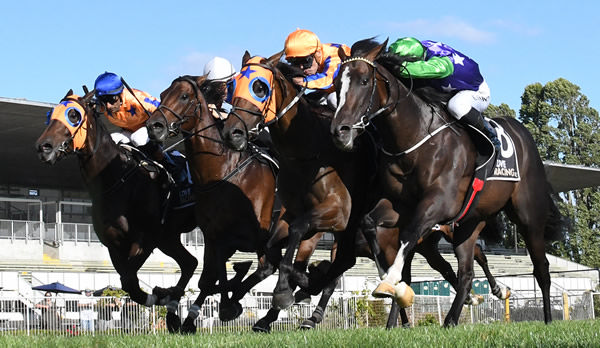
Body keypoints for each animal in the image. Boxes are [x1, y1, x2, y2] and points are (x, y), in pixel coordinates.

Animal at [35, 91, 199, 320]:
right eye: (50, 115)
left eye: (74, 115)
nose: (44, 146)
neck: (117, 179)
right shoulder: (114, 244)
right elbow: (129, 284)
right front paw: (161, 295)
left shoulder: (145, 240)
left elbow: (129, 279)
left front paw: (160, 294)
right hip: (168, 239)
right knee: (190, 262)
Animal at [328, 39, 564, 324]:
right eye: (337, 82)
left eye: (364, 81)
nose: (340, 131)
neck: (416, 140)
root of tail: (523, 134)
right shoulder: (399, 204)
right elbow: (369, 222)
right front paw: (390, 280)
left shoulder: (439, 202)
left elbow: (409, 234)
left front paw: (391, 281)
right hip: (469, 223)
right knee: (466, 273)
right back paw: (452, 319)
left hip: (529, 216)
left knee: (541, 268)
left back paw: (547, 319)